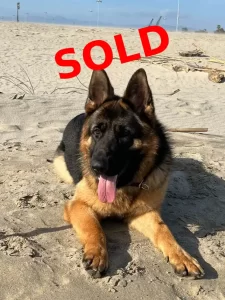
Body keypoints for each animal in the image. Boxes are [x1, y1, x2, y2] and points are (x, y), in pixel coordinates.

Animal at [53, 68, 205, 278]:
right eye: (97, 132)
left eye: (124, 134)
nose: (96, 167)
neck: (123, 186)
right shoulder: (79, 206)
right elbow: (95, 229)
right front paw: (96, 253)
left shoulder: (146, 213)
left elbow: (164, 231)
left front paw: (182, 256)